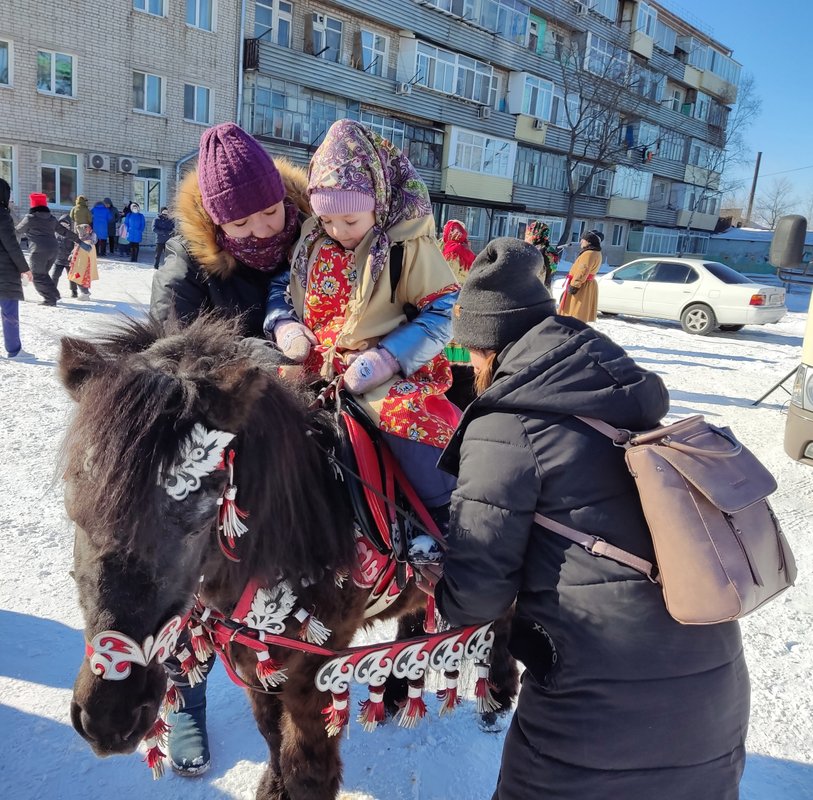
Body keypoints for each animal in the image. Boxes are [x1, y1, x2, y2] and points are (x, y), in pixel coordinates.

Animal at [60, 316, 516, 800]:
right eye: (76, 505)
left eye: (200, 512)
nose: (108, 717)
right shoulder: (253, 656)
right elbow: (272, 736)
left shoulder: (314, 668)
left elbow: (306, 766)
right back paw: (395, 692)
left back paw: (497, 695)